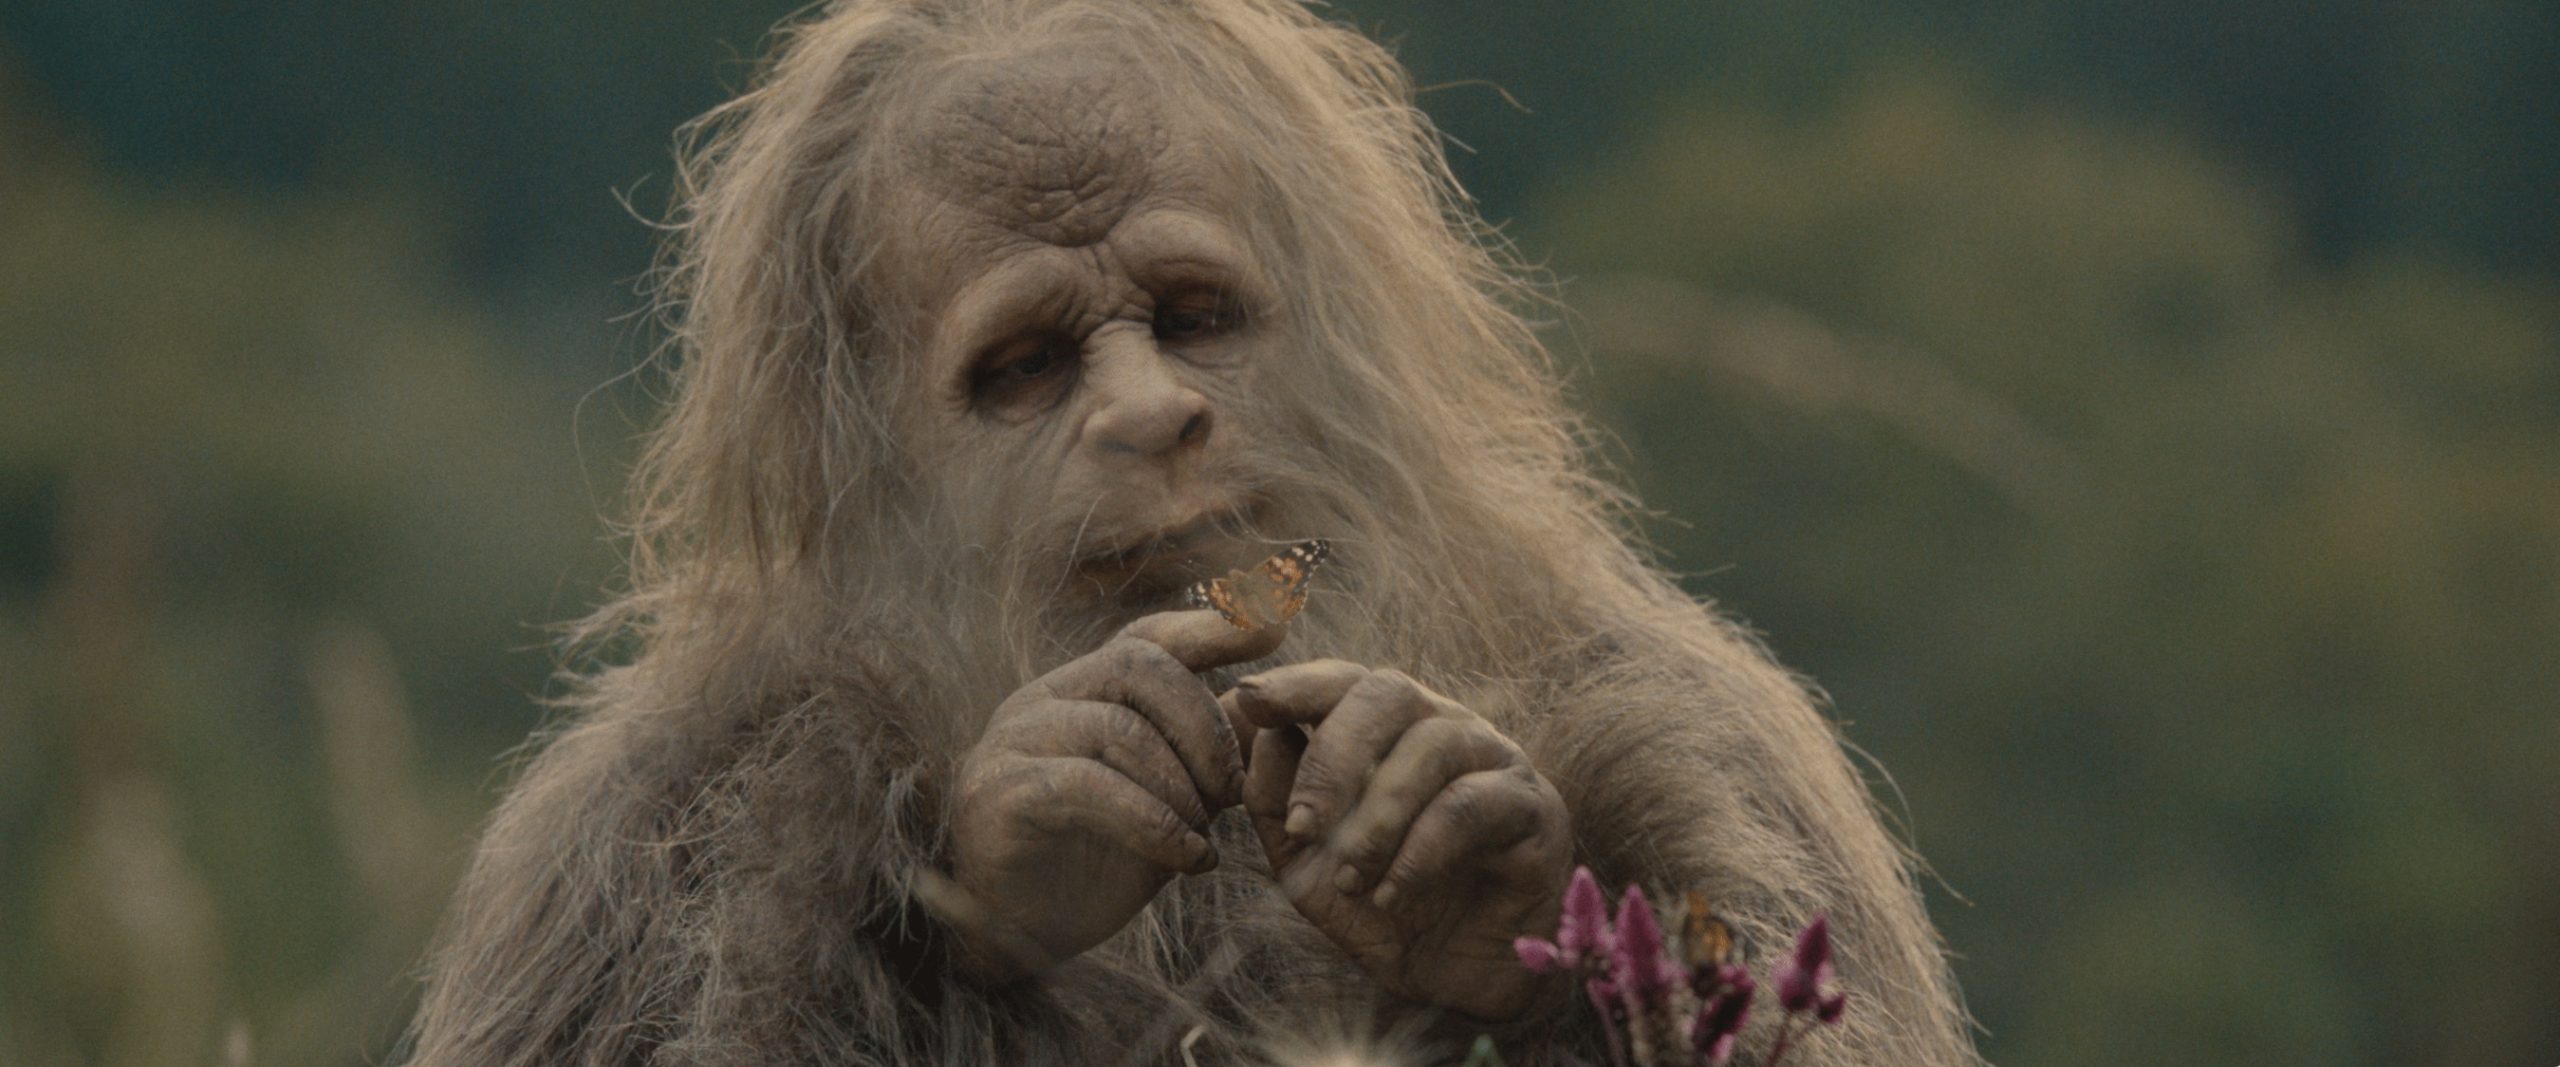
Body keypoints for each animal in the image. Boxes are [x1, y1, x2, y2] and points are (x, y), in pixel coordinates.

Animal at [404, 1, 1979, 1065]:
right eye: (1028, 366)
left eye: (1192, 316)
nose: (1157, 423)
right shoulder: (623, 841)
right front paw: (1011, 842)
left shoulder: (1717, 740)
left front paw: (1466, 856)